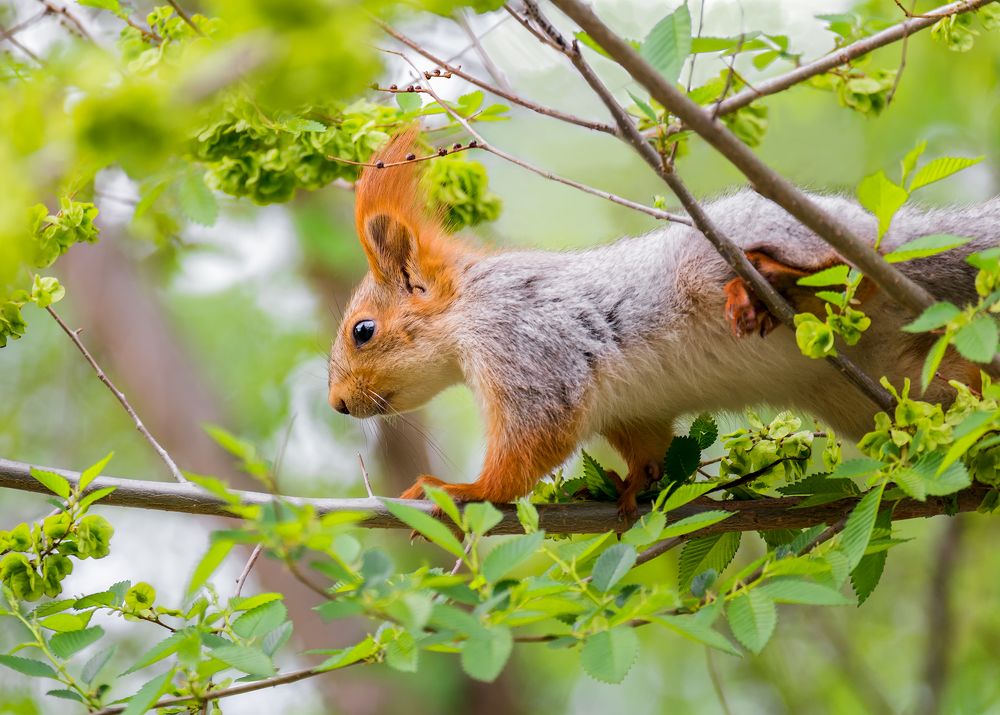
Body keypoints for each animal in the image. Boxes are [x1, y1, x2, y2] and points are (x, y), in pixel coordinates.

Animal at [327, 131, 998, 518]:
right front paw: (625, 487)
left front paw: (464, 490)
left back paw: (768, 281)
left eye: (363, 330)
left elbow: (531, 442)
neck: (469, 310)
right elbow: (646, 447)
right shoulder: (632, 411)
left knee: (840, 269)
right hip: (882, 389)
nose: (337, 404)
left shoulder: (529, 345)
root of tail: (894, 237)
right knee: (946, 380)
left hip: (737, 258)